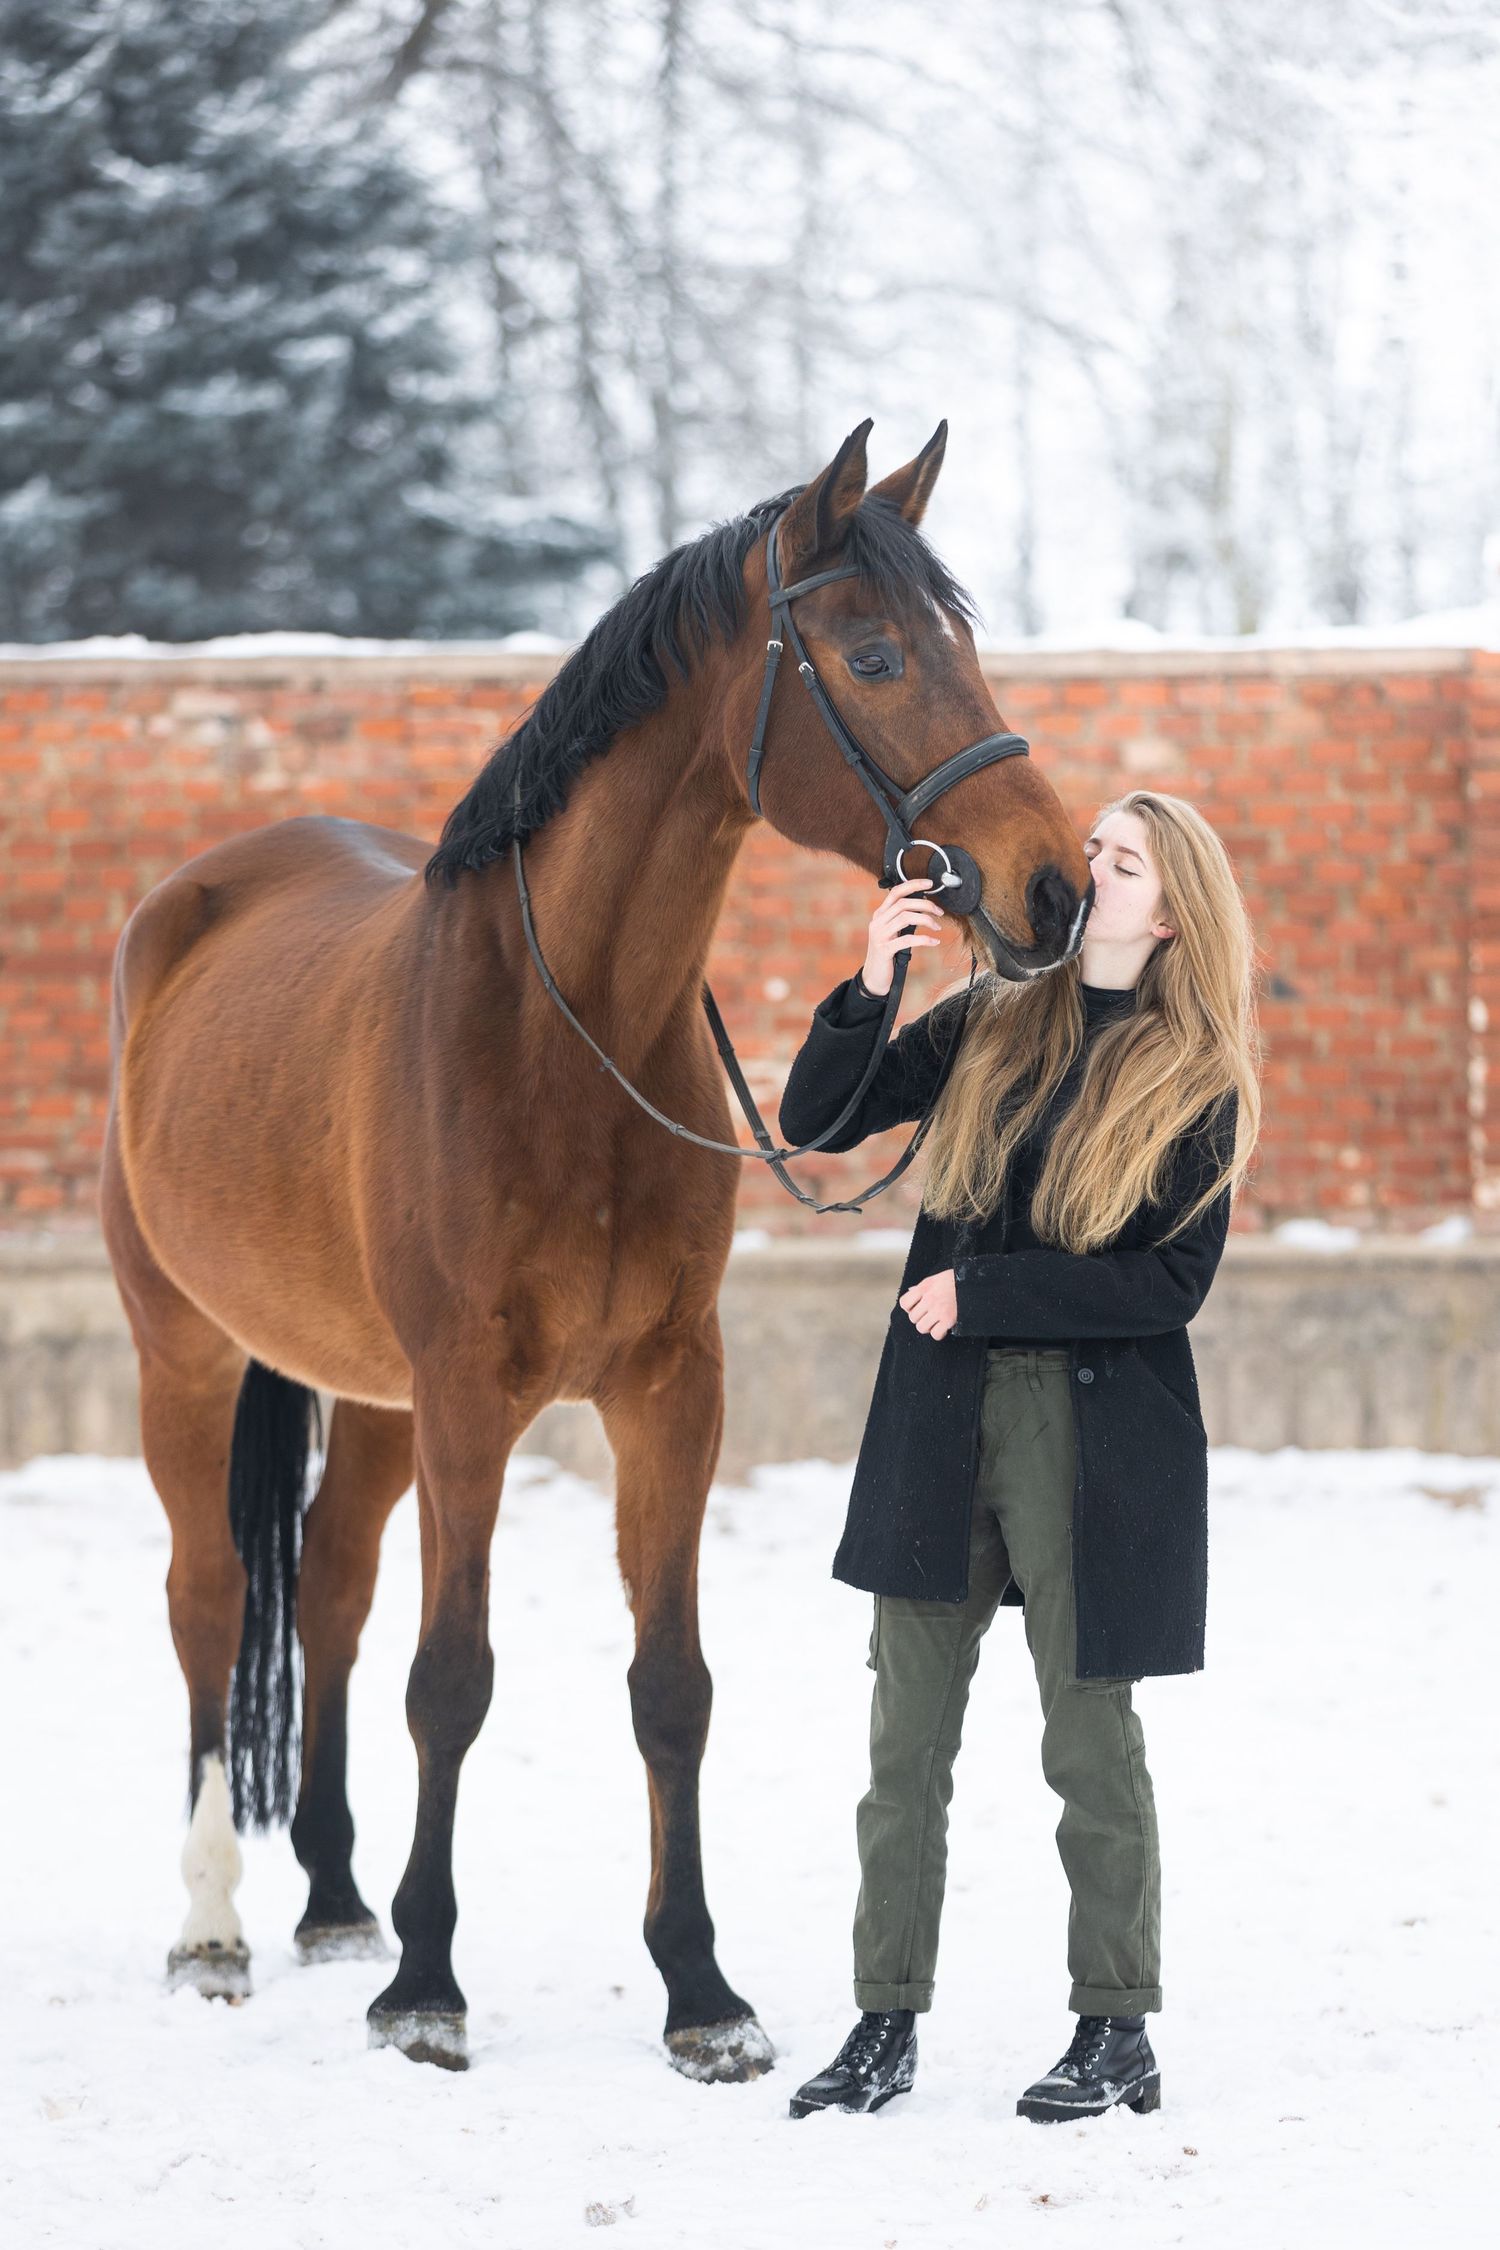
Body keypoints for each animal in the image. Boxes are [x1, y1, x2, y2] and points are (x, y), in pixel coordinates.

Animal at [100, 417, 1094, 2077]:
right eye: (876, 654)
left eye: (963, 643)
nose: (1054, 888)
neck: (565, 1030)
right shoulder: (469, 1399)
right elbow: (453, 1679)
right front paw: (428, 1987)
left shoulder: (668, 1390)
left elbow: (671, 1685)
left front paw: (703, 1992)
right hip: (189, 1353)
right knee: (210, 1599)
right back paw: (213, 1927)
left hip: (372, 1396)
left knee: (330, 1586)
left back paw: (332, 1902)